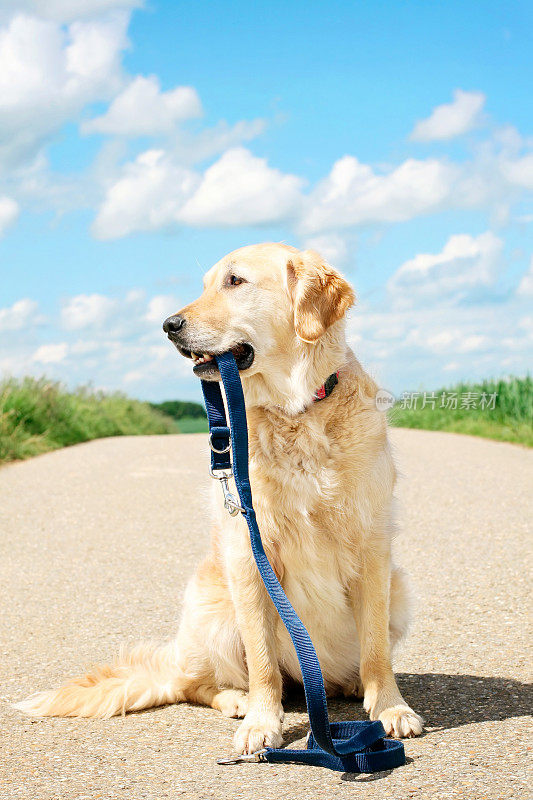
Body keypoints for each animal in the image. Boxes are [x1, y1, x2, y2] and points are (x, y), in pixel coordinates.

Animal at [16, 242, 422, 752]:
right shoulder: (248, 554)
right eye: (206, 284)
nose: (169, 324)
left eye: (235, 281)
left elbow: (375, 649)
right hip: (211, 611)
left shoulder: (373, 549)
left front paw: (389, 707)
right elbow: (263, 662)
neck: (295, 411)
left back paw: (349, 685)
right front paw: (263, 724)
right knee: (199, 685)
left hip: (400, 588)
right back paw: (238, 700)